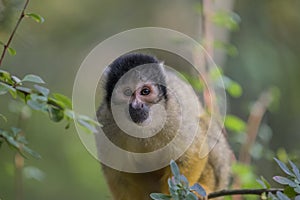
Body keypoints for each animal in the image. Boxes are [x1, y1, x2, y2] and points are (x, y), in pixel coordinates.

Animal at [96, 53, 232, 200]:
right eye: (127, 92)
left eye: (145, 92)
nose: (137, 106)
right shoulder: (106, 121)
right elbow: (117, 173)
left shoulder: (174, 114)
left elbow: (191, 152)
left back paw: (204, 187)